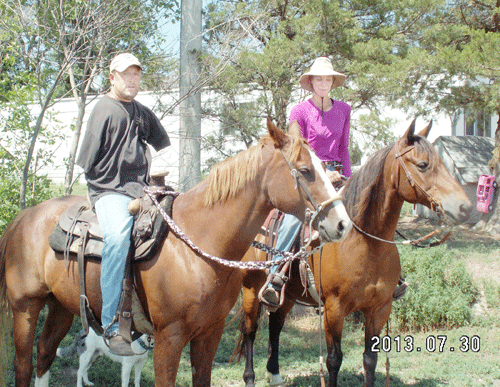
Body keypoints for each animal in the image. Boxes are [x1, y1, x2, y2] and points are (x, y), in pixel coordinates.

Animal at [0, 120, 352, 387]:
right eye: (305, 171)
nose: (342, 224)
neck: (198, 244)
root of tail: (23, 217)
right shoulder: (168, 339)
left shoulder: (209, 334)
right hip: (25, 307)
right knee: (23, 363)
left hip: (61, 306)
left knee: (45, 352)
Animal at [236, 119, 470, 386]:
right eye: (423, 165)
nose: (464, 207)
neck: (366, 243)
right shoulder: (334, 310)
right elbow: (333, 360)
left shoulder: (379, 309)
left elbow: (370, 359)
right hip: (251, 288)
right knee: (251, 330)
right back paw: (250, 377)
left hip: (288, 294)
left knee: (275, 324)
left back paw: (274, 374)